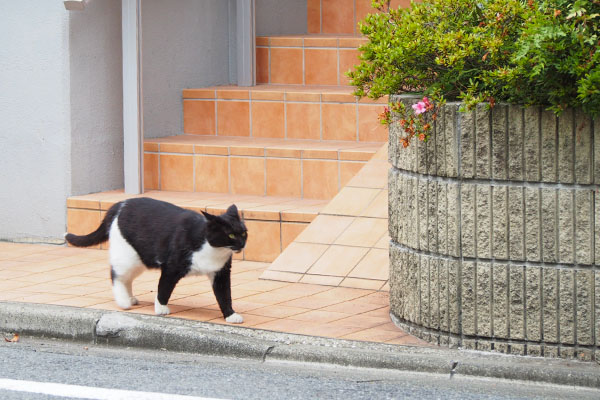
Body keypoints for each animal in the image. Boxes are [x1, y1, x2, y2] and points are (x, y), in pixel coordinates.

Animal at [67, 198, 248, 324]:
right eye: (231, 235)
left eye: (244, 233)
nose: (242, 244)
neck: (213, 249)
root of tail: (120, 204)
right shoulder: (171, 267)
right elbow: (164, 287)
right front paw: (160, 308)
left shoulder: (221, 273)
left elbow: (225, 295)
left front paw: (230, 315)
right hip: (127, 256)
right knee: (116, 275)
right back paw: (124, 301)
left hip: (139, 258)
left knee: (127, 278)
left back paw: (130, 298)